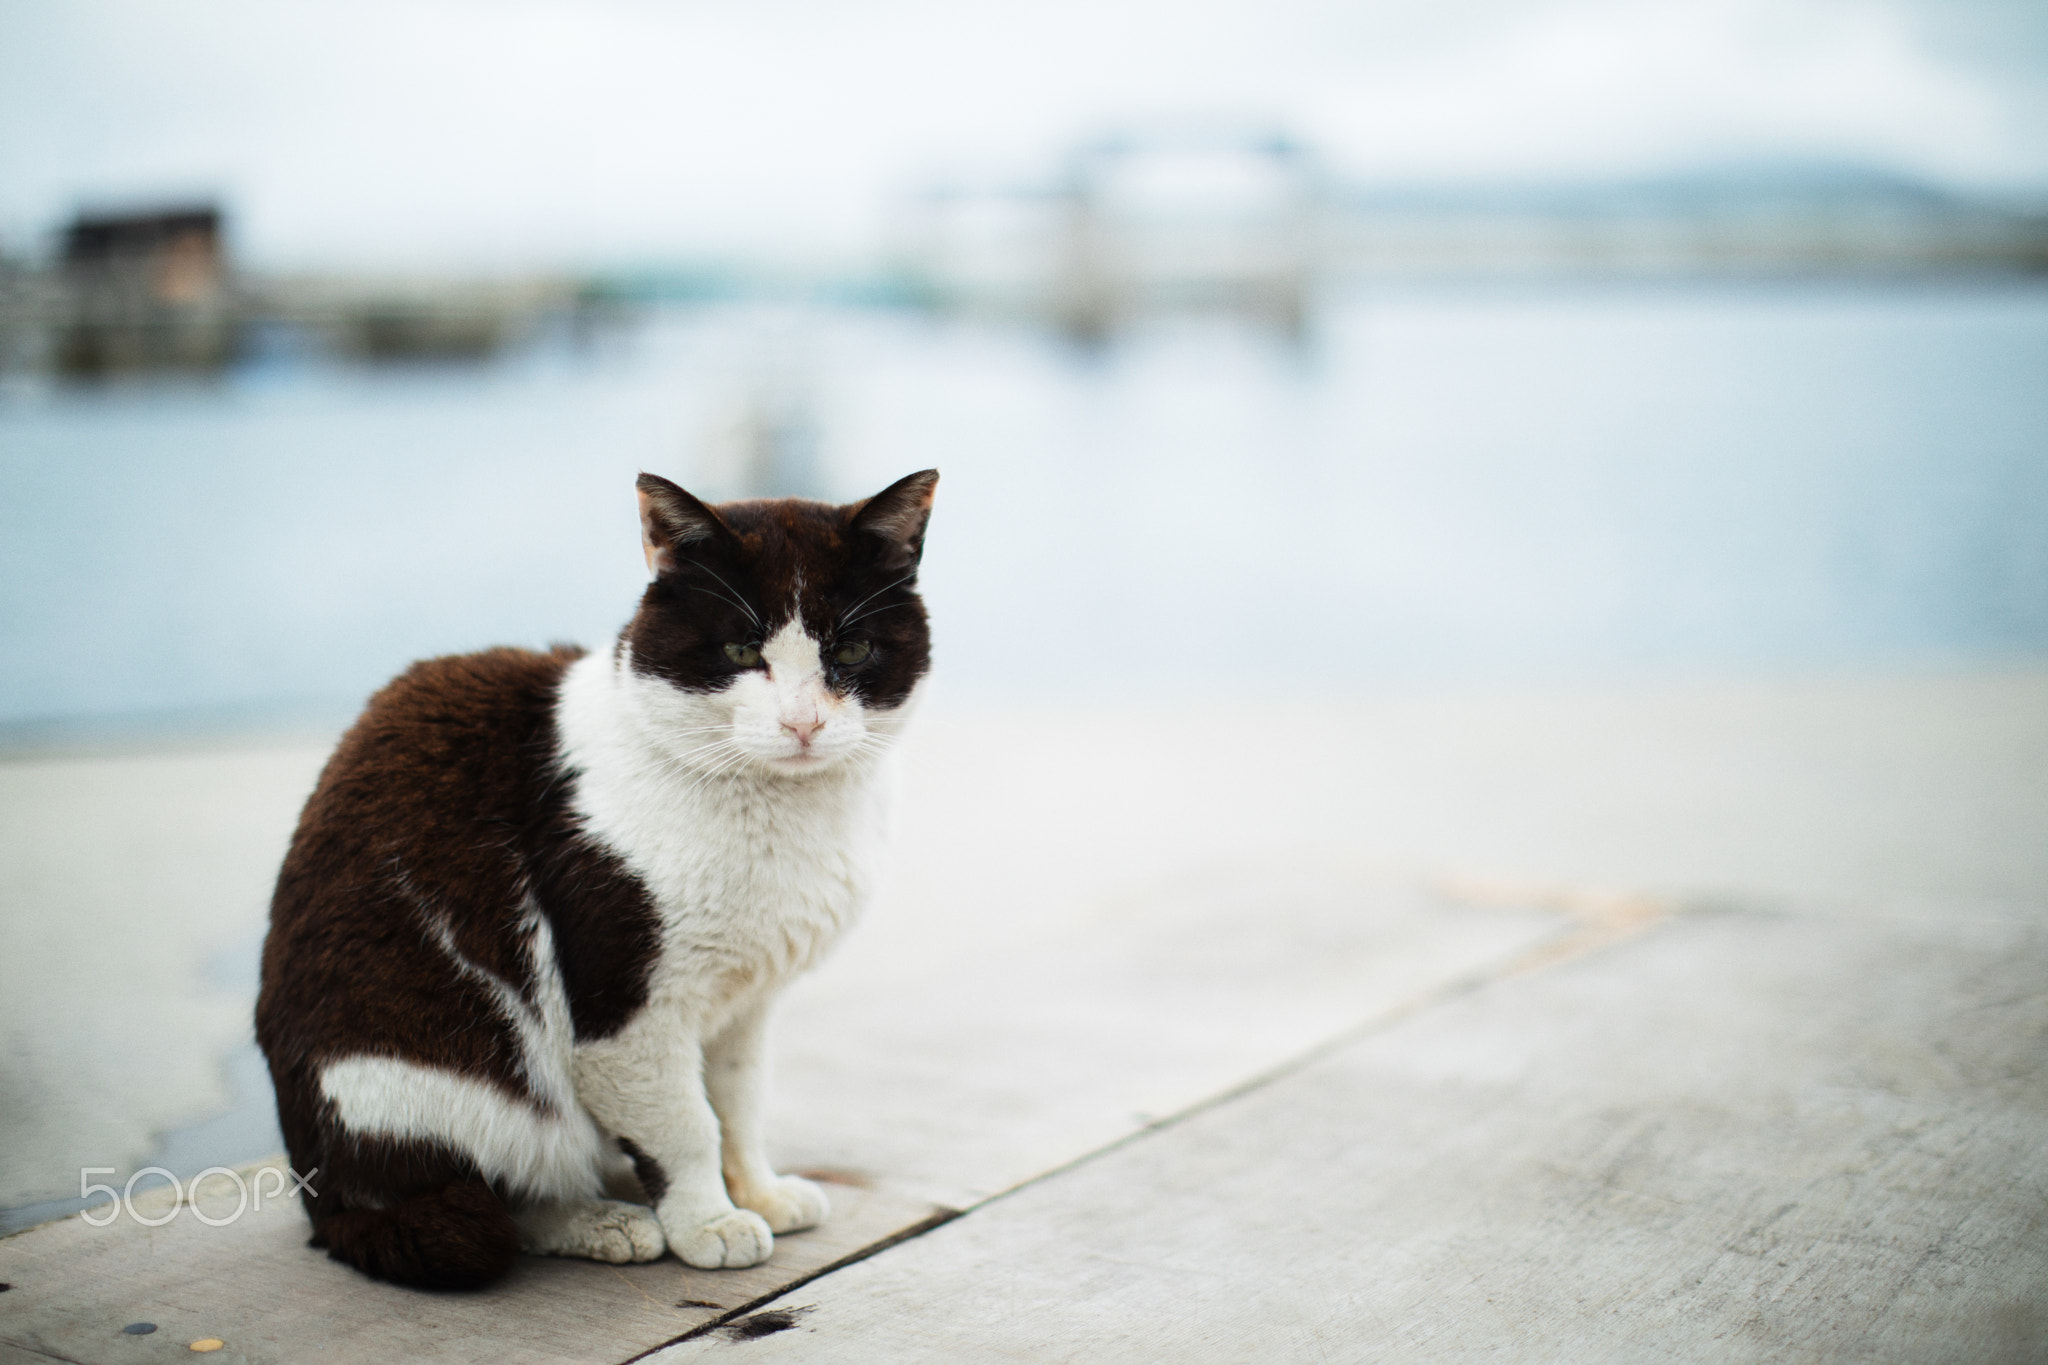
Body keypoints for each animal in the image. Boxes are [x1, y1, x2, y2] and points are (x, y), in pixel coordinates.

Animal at [249, 470, 942, 1293]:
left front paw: (758, 1191)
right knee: (493, 1198)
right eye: (742, 649)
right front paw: (708, 1221)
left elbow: (738, 1104)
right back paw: (599, 1220)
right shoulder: (625, 1010)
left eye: (854, 649)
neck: (782, 812)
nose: (802, 723)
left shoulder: (744, 1004)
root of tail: (317, 1193)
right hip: (431, 1080)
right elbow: (686, 1124)